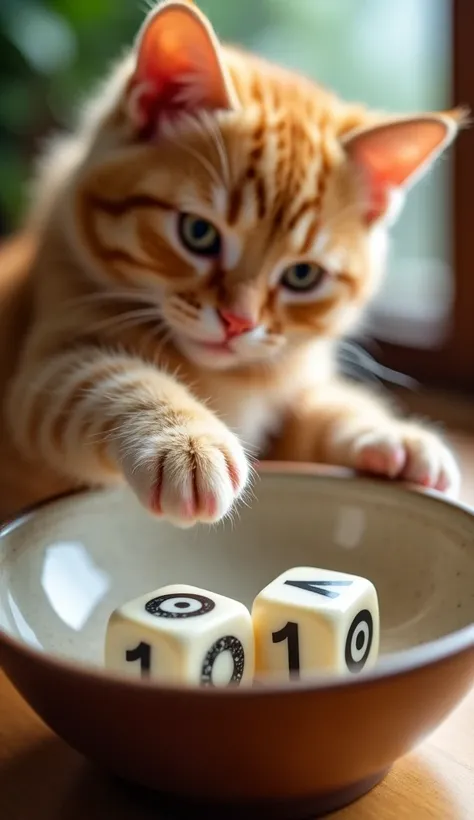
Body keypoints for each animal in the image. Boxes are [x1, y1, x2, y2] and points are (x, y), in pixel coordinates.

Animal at [0, 1, 464, 524]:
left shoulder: (288, 393)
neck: (226, 382)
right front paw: (186, 443)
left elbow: (324, 405)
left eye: (302, 275)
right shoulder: (45, 373)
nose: (237, 322)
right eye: (198, 233)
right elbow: (107, 378)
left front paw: (394, 435)